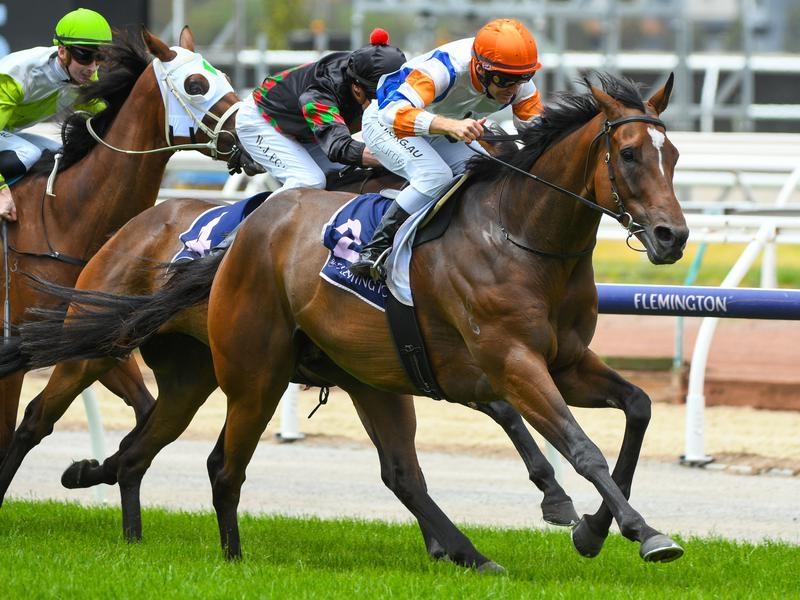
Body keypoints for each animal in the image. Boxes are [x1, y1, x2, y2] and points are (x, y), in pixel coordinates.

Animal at [0, 26, 251, 459]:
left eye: (223, 76)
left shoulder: (98, 333)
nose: (253, 138)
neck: (66, 217)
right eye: (196, 84)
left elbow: (145, 406)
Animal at [7, 72, 688, 570]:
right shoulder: (508, 362)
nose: (671, 236)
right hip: (175, 360)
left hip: (224, 374)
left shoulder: (563, 363)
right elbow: (578, 446)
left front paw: (595, 529)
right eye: (630, 154)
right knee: (53, 422)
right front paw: (633, 528)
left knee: (148, 448)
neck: (520, 237)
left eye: (675, 155)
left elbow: (637, 408)